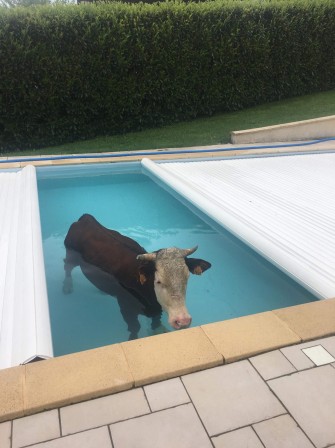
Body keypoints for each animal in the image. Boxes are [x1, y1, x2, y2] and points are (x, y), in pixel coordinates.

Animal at [62, 215, 213, 338]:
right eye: (159, 281)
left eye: (187, 278)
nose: (183, 321)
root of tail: (87, 218)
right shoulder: (125, 305)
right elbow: (134, 328)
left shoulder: (156, 310)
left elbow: (155, 323)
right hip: (71, 253)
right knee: (67, 267)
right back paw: (67, 286)